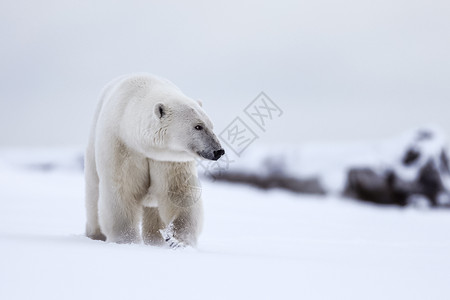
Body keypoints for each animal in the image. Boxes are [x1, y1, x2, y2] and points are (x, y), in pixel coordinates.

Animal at [83, 74, 224, 247]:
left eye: (211, 125)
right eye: (198, 126)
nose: (218, 151)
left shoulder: (169, 159)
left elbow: (179, 192)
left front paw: (177, 241)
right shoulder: (122, 146)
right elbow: (122, 190)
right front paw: (127, 241)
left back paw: (155, 241)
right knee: (93, 194)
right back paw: (95, 235)